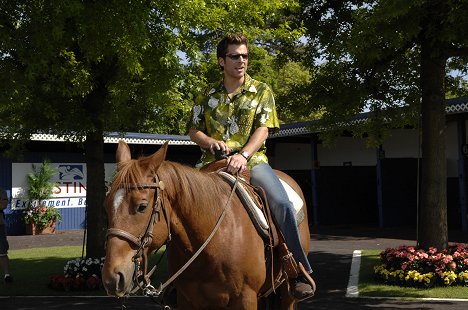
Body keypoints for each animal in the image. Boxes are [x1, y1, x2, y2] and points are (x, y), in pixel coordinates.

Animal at [102, 141, 310, 310]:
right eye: (106, 205)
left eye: (142, 206)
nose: (112, 278)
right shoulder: (188, 301)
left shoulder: (245, 299)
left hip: (287, 293)